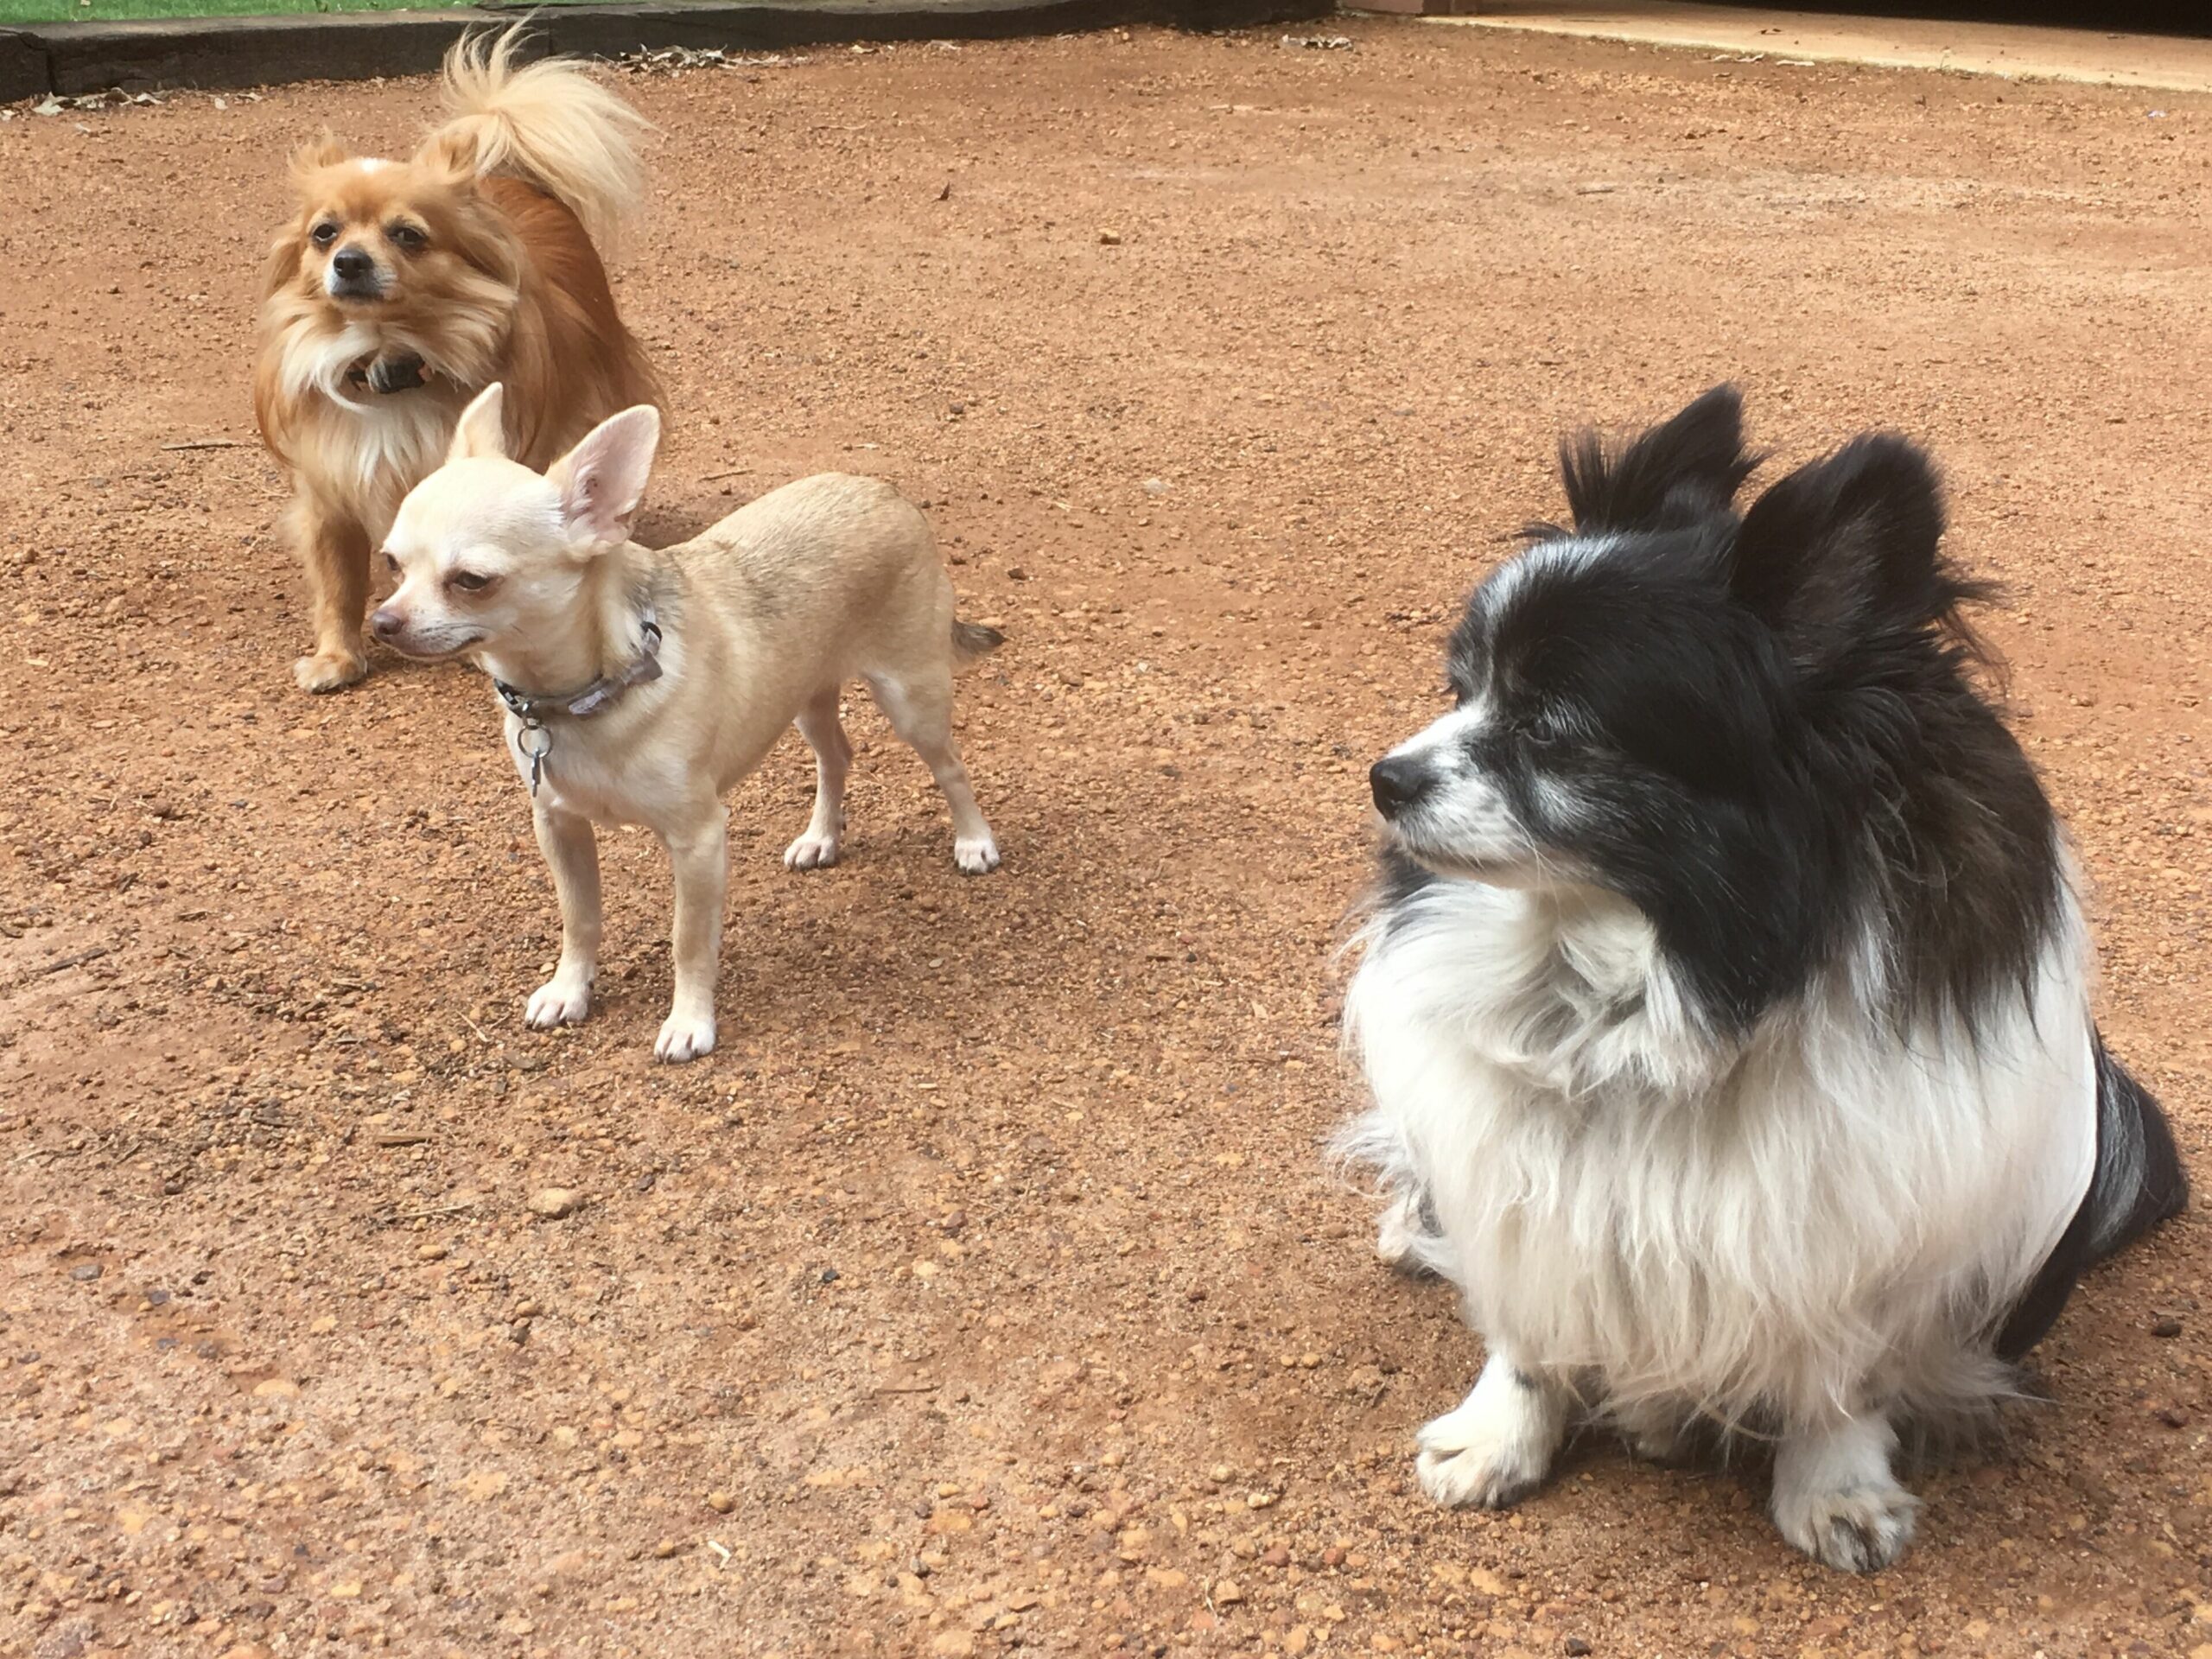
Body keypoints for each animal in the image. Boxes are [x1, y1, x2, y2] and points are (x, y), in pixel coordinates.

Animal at [253, 32, 654, 694]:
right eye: (324, 233)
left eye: (408, 235)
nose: (349, 262)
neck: (389, 362)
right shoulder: (330, 489)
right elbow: (338, 581)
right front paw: (337, 657)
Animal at [1336, 387, 2185, 1574]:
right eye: (1460, 689)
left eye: (1551, 728)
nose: (1384, 777)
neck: (1659, 986)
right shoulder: (1525, 1194)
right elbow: (1530, 1328)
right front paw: (1496, 1437)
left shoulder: (1866, 1248)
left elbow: (1839, 1377)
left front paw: (1836, 1491)